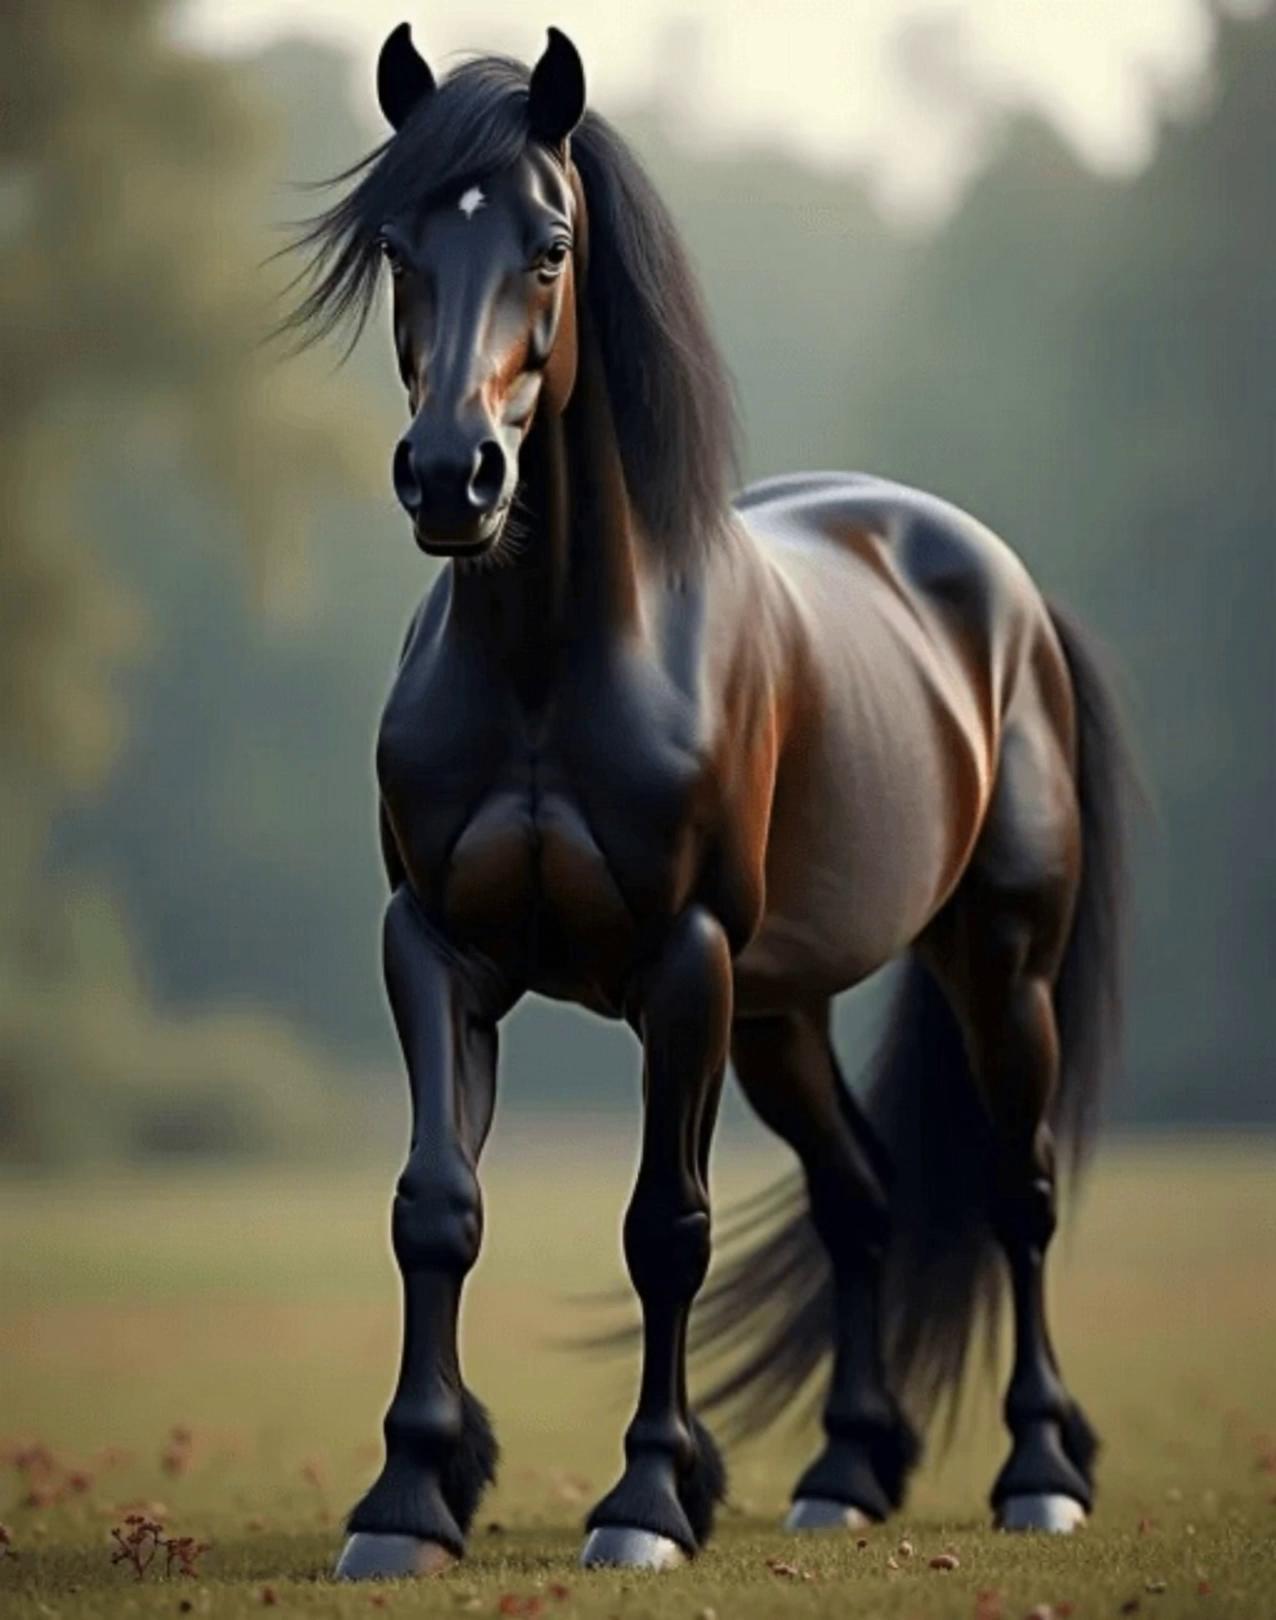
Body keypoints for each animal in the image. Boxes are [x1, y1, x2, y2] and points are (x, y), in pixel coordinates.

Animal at [286, 24, 1135, 1579]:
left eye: (550, 247)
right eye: (396, 246)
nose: (451, 477)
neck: (553, 664)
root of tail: (1006, 593)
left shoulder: (682, 964)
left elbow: (663, 1230)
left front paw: (642, 1502)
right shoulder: (436, 947)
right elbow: (436, 1208)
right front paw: (410, 1498)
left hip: (997, 969)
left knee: (1020, 1193)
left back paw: (1040, 1473)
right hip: (780, 1012)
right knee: (861, 1200)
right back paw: (845, 1473)